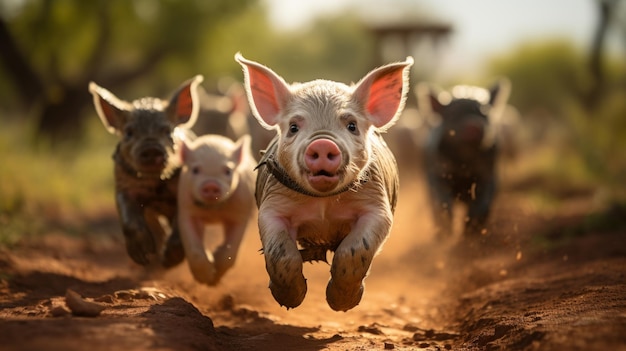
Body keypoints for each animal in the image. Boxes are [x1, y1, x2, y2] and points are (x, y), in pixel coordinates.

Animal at [88, 76, 202, 266]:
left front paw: (169, 260)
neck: (155, 184)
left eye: (167, 131)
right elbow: (129, 219)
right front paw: (143, 257)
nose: (151, 147)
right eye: (128, 132)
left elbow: (181, 222)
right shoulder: (124, 187)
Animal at [176, 135, 256, 286]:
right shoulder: (186, 209)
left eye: (228, 171)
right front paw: (205, 280)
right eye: (195, 170)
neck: (213, 212)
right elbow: (194, 249)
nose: (211, 184)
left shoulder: (241, 212)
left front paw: (214, 280)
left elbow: (230, 250)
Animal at [233, 53, 410, 312]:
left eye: (352, 126)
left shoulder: (377, 205)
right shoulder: (272, 205)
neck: (323, 206)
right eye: (293, 127)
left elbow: (354, 250)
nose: (323, 143)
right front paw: (291, 301)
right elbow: (281, 254)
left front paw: (341, 304)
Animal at [414, 80, 508, 239]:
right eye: (453, 114)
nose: (474, 126)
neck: (465, 163)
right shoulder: (437, 175)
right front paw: (447, 234)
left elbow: (483, 202)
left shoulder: (489, 175)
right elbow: (442, 202)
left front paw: (470, 233)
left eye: (484, 113)